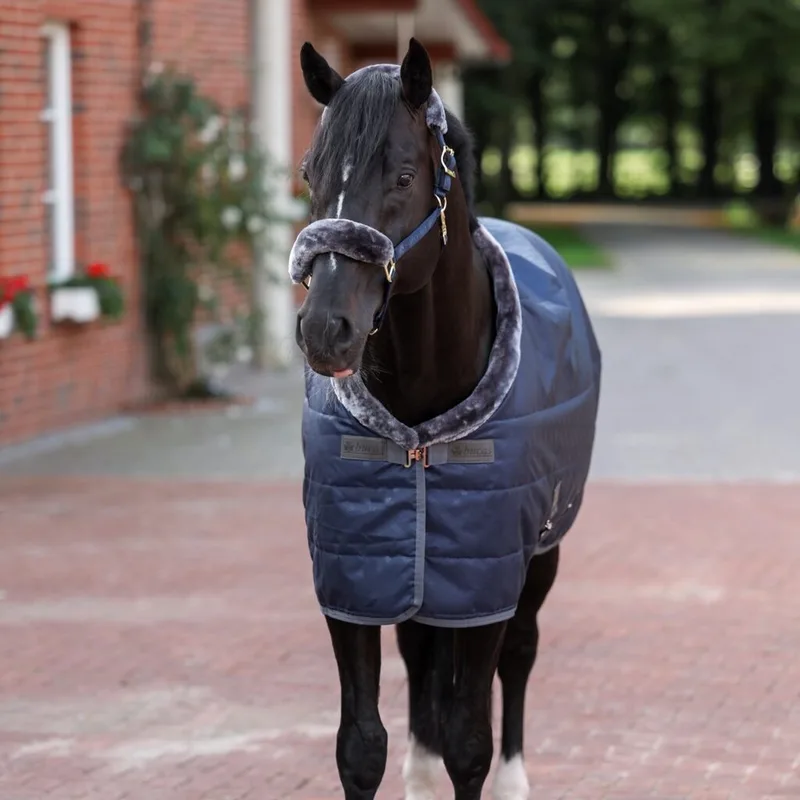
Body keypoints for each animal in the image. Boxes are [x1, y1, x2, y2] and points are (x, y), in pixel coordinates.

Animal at [290, 38, 601, 800]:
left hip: (542, 552)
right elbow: (360, 745)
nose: (325, 330)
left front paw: (474, 762)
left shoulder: (487, 579)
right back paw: (421, 770)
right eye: (310, 171)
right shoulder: (353, 578)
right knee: (421, 650)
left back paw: (516, 778)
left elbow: (471, 739)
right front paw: (409, 763)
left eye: (403, 174)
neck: (418, 438)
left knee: (520, 654)